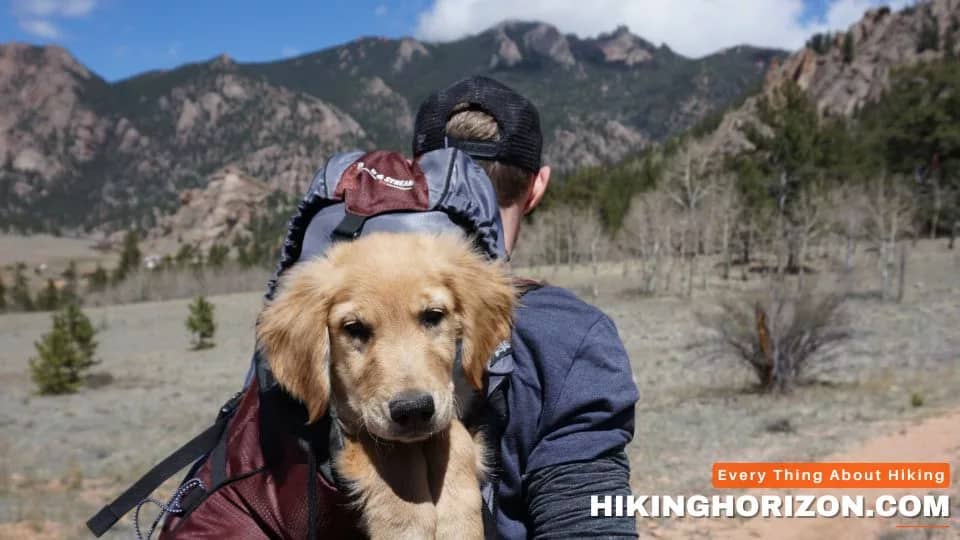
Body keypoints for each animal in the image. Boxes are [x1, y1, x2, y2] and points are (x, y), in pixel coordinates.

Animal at [251, 232, 512, 540]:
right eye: (354, 328)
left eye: (433, 316)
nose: (413, 410)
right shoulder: (354, 426)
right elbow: (391, 453)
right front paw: (407, 522)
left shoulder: (451, 410)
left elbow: (453, 437)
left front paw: (458, 522)